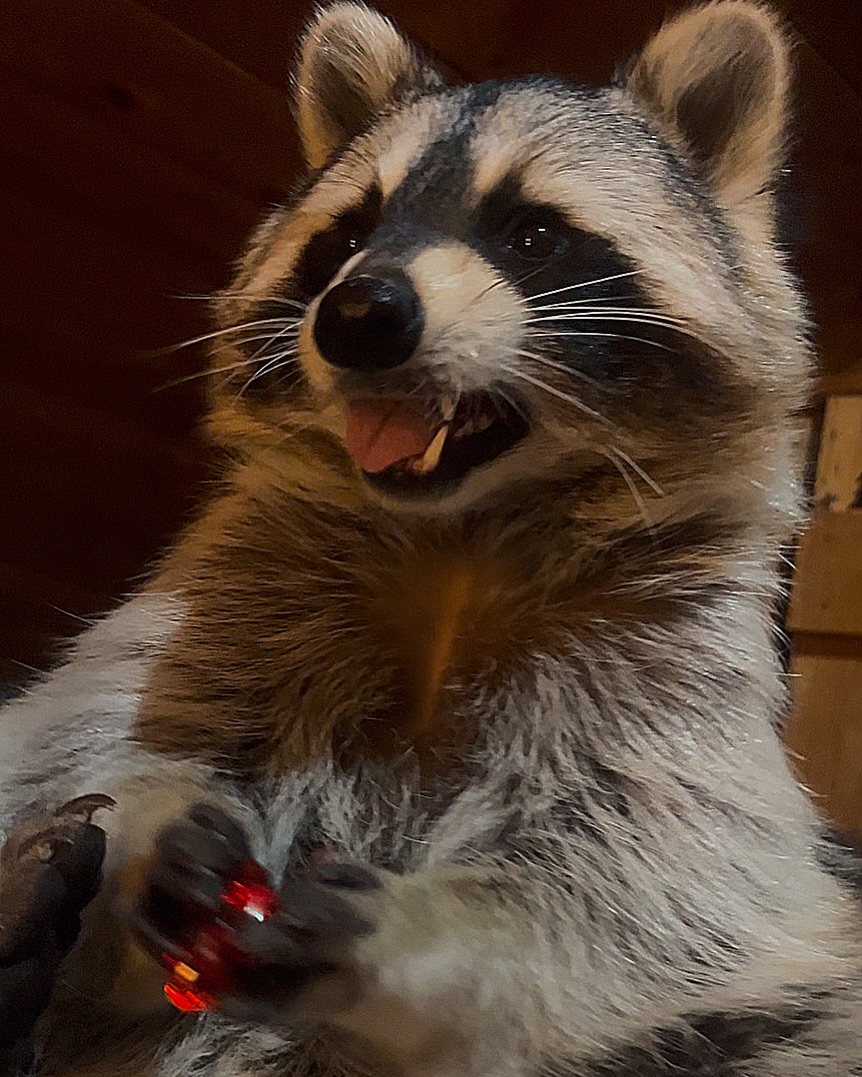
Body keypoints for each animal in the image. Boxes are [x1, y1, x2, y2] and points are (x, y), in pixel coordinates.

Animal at [1, 2, 861, 1076]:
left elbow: (656, 879)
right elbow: (81, 735)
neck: (457, 533)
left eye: (534, 232)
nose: (359, 312)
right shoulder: (233, 582)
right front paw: (144, 837)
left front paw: (424, 937)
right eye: (349, 231)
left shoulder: (677, 650)